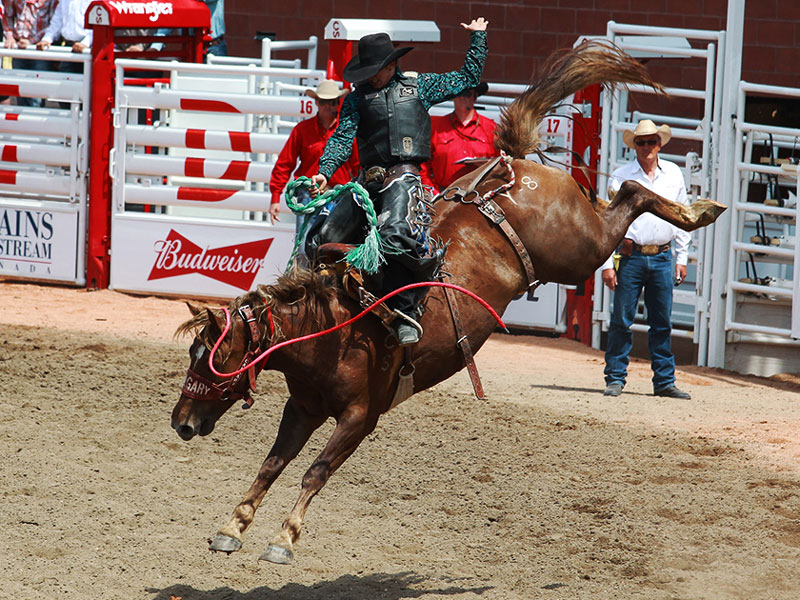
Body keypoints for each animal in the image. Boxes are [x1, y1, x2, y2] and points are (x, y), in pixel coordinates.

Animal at [172, 42, 728, 564]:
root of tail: (507, 167)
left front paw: (283, 539)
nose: (180, 422)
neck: (331, 330)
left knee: (632, 191)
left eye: (216, 357)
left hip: (580, 250)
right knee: (622, 193)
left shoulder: (360, 417)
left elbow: (315, 471)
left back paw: (698, 209)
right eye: (193, 355)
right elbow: (273, 464)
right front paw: (232, 526)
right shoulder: (302, 407)